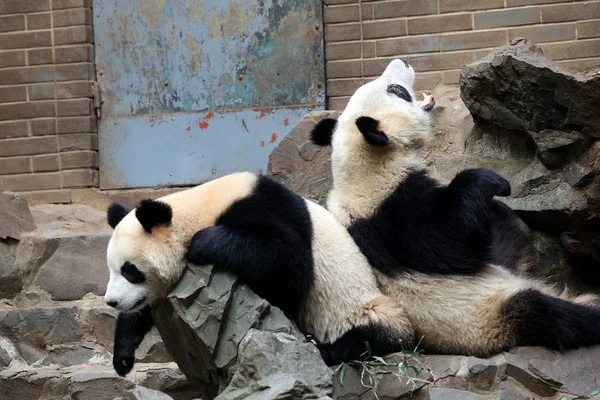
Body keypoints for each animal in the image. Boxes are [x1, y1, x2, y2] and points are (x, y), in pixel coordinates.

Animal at [103, 171, 414, 376]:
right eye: (111, 269)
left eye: (130, 271)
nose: (112, 302)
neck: (194, 209)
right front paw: (123, 356)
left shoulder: (263, 205)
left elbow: (289, 264)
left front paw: (201, 244)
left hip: (365, 310)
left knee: (366, 336)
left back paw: (322, 348)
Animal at [308, 58, 600, 356]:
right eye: (396, 91)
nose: (402, 61)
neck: (365, 165)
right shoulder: (393, 212)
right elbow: (453, 244)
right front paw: (493, 181)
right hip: (488, 314)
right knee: (550, 315)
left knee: (512, 239)